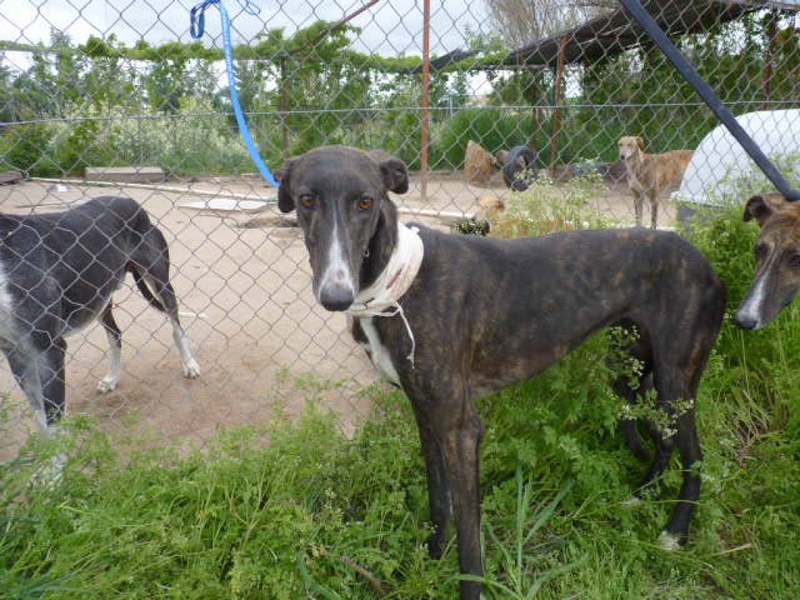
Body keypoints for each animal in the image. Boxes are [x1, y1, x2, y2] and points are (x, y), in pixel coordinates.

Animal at [0, 196, 200, 432]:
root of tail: (130, 201)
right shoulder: (15, 351)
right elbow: (41, 419)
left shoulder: (48, 349)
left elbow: (54, 423)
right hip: (100, 298)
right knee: (115, 334)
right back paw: (112, 378)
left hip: (159, 280)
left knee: (175, 324)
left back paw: (189, 363)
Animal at [278, 145, 728, 600]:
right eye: (306, 199)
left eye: (366, 202)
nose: (336, 296)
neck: (397, 284)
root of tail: (705, 262)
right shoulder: (426, 412)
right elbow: (439, 500)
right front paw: (431, 557)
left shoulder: (461, 427)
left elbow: (469, 533)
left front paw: (468, 585)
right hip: (629, 370)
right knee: (665, 439)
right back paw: (643, 494)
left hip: (675, 379)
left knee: (696, 457)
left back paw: (675, 531)